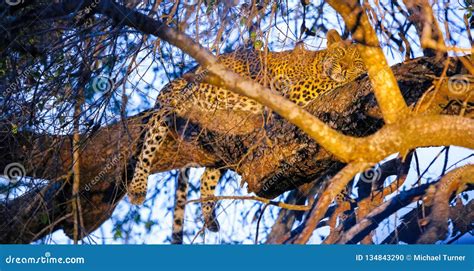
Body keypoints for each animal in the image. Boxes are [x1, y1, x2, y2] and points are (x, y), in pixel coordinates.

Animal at [126, 29, 366, 234]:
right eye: (341, 53)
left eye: (357, 61)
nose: (344, 68)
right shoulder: (294, 92)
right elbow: (327, 82)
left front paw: (344, 202)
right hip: (174, 105)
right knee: (149, 142)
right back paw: (137, 188)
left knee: (207, 176)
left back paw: (210, 219)